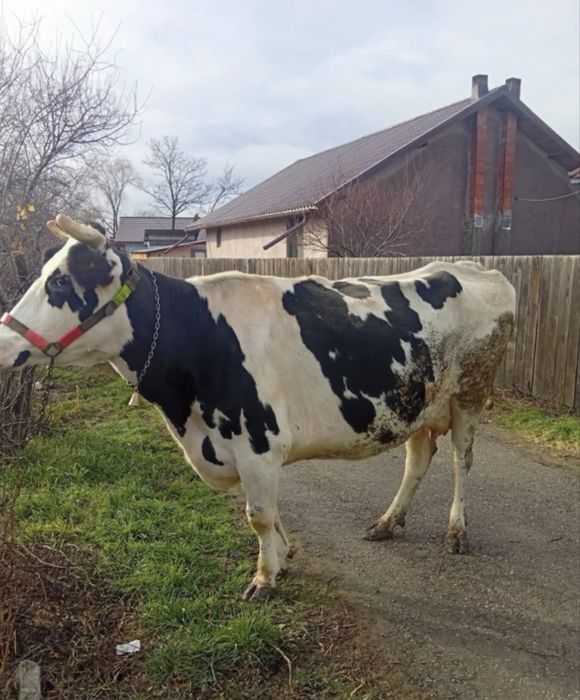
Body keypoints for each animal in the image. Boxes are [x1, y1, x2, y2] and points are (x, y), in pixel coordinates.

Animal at [0, 215, 515, 600]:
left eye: (60, 282)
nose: (3, 341)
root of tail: (477, 269)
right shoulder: (251, 451)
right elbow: (271, 513)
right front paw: (282, 558)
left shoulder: (258, 443)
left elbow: (258, 514)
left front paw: (264, 578)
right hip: (417, 402)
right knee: (418, 459)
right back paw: (387, 522)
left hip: (470, 394)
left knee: (460, 460)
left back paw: (456, 531)